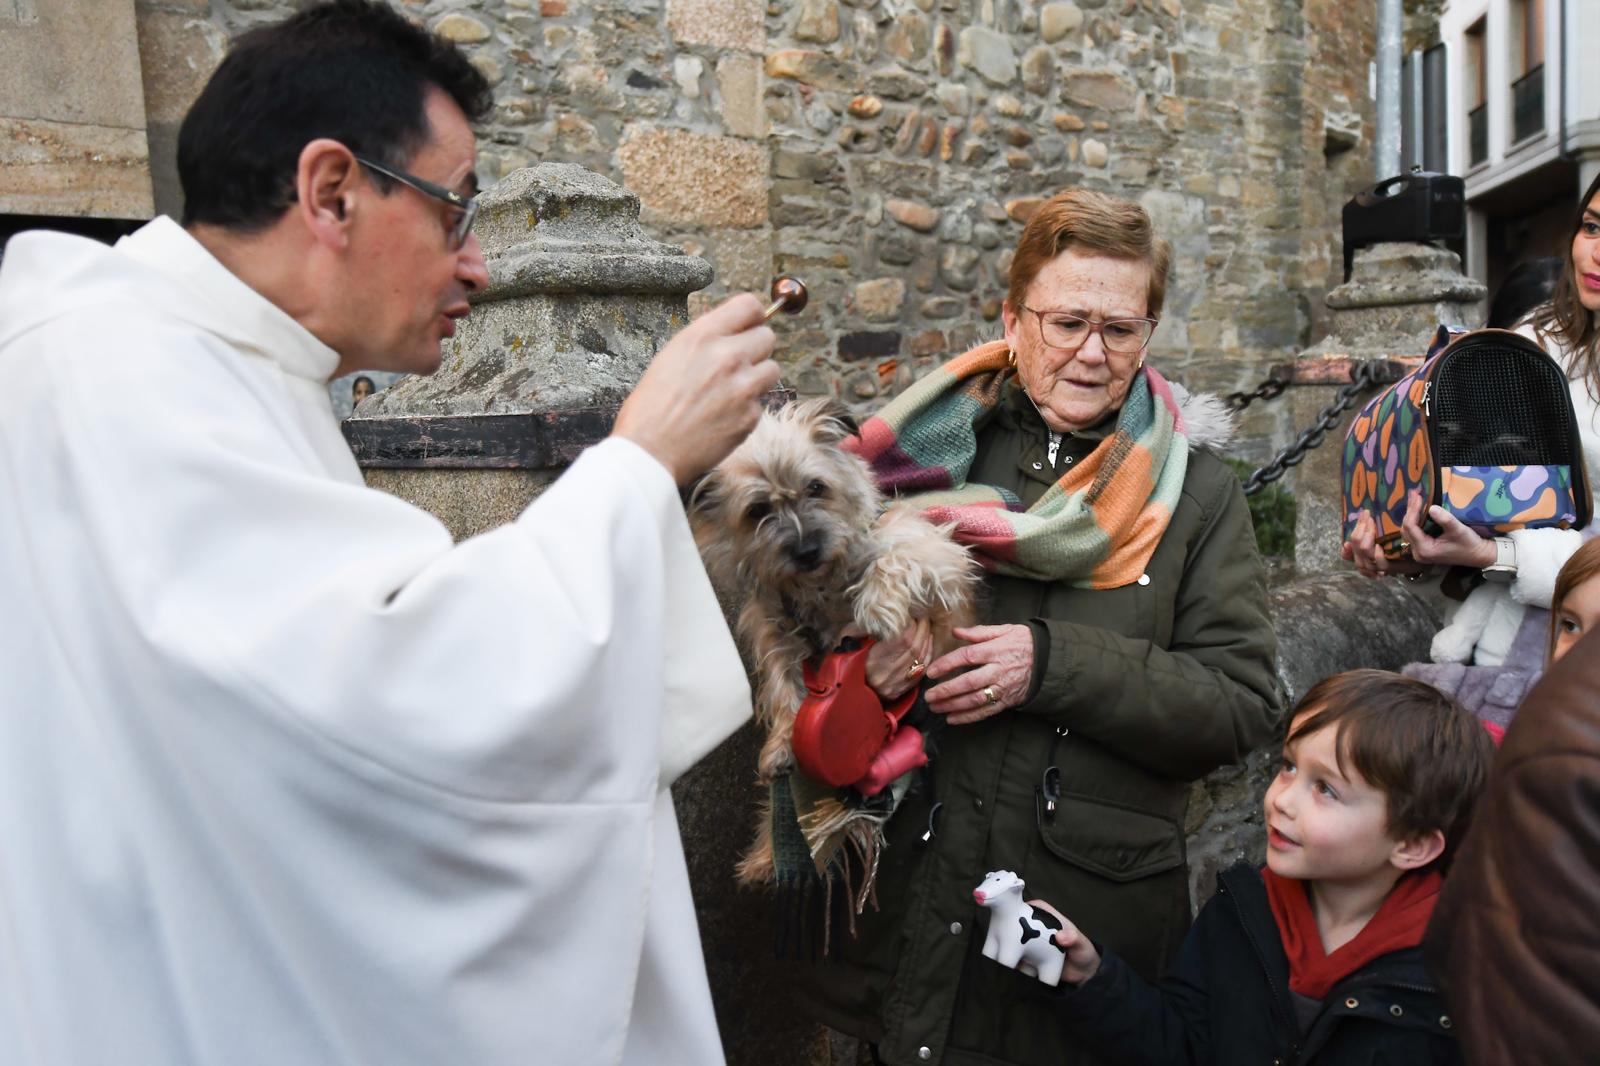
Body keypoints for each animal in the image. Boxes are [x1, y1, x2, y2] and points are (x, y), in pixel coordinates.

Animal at [684, 396, 972, 870]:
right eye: (757, 511)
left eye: (816, 487)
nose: (806, 551)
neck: (820, 584)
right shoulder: (773, 624)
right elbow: (781, 679)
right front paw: (782, 741)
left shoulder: (938, 554)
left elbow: (894, 557)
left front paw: (875, 606)